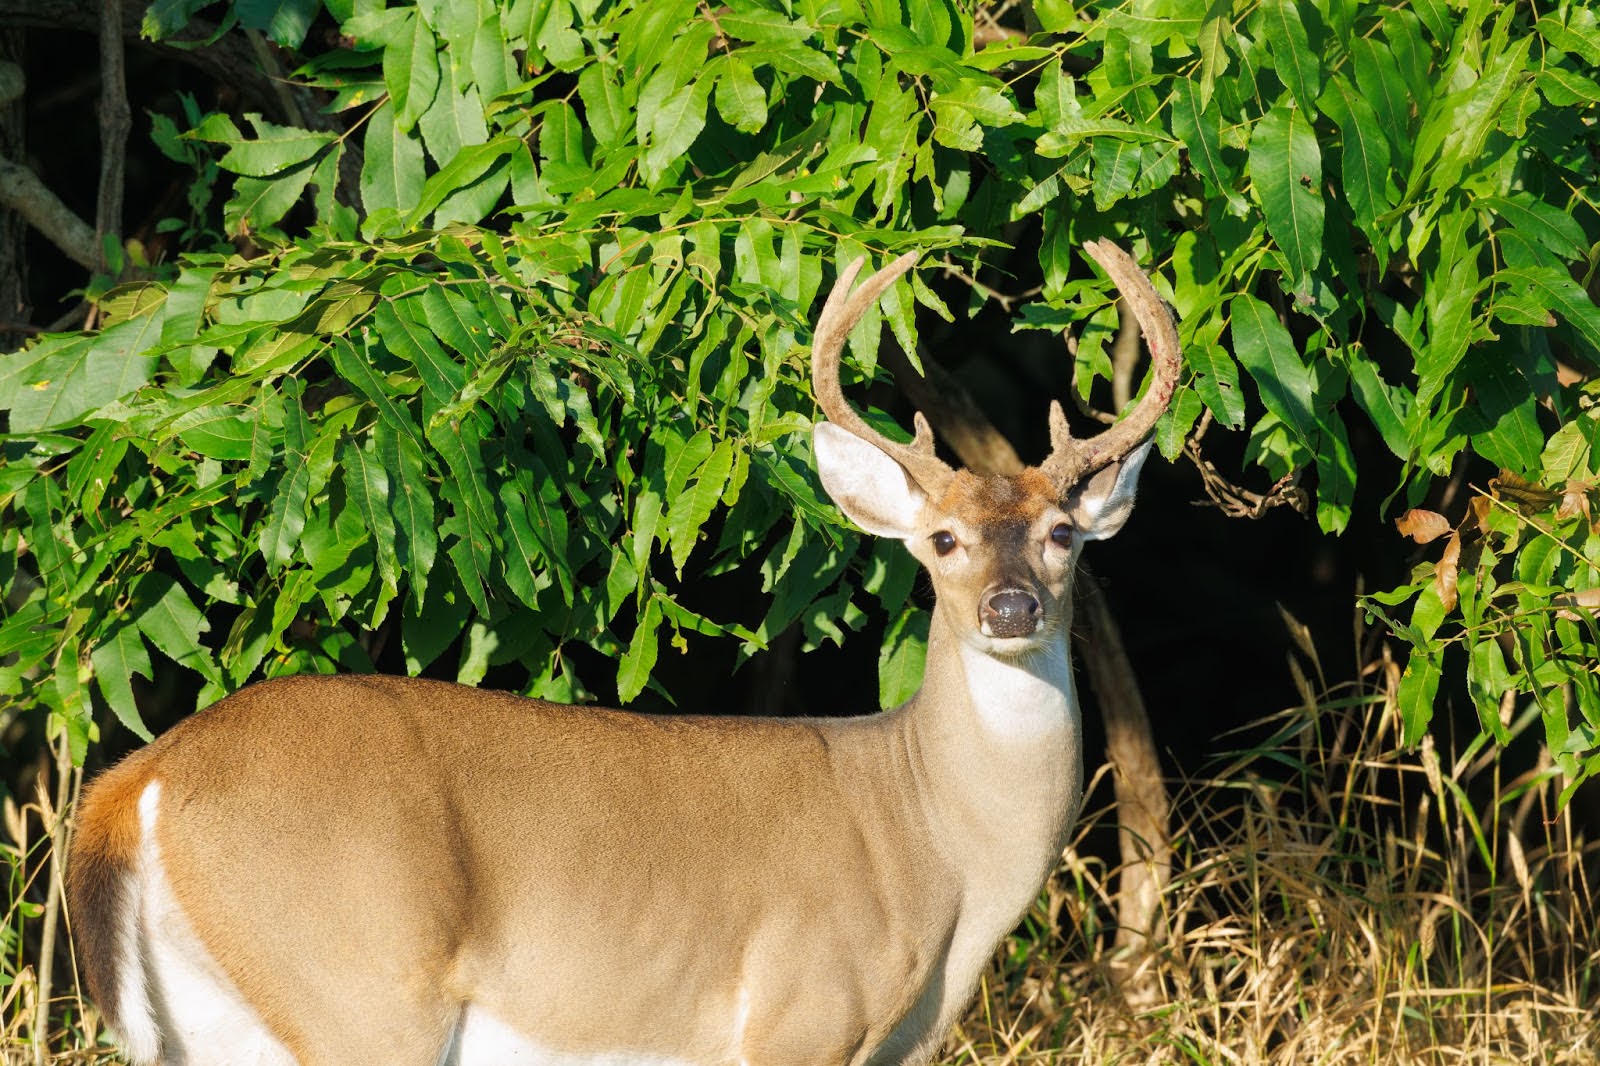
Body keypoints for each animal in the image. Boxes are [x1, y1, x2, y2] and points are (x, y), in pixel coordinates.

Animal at [66, 239, 1180, 1066]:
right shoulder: (800, 1007)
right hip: (360, 981)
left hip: (210, 1013)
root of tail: (139, 778)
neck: (935, 842)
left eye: (1063, 533)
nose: (1009, 606)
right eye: (942, 539)